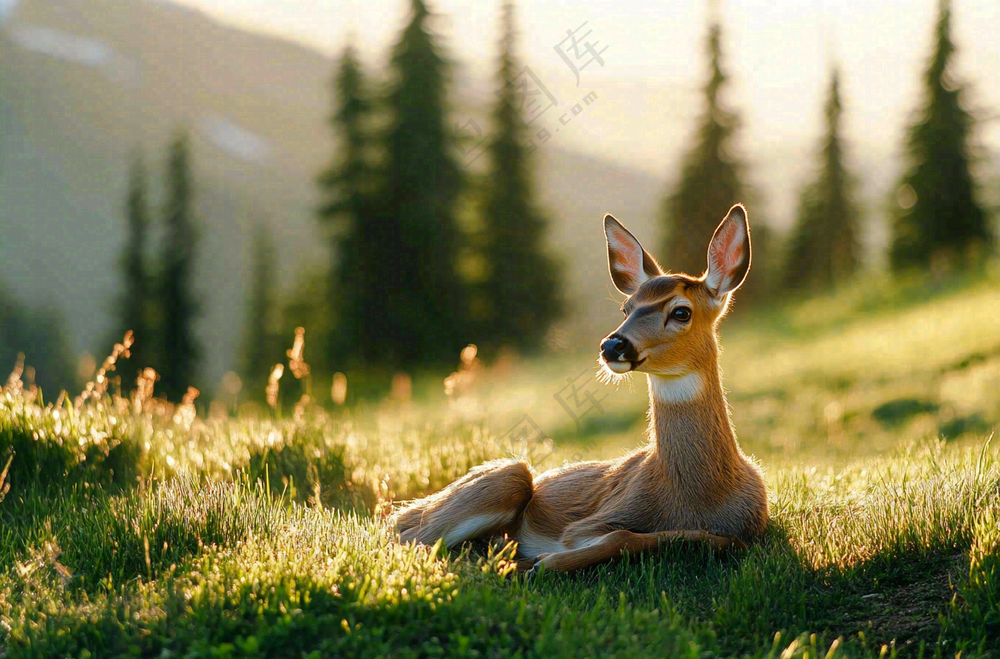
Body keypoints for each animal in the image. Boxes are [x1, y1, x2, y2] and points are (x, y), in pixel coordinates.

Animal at [395, 204, 768, 573]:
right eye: (626, 308)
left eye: (681, 312)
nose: (612, 345)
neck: (698, 496)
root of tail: (407, 508)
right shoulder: (589, 522)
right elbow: (625, 537)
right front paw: (542, 561)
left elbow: (706, 539)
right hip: (506, 478)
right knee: (409, 537)